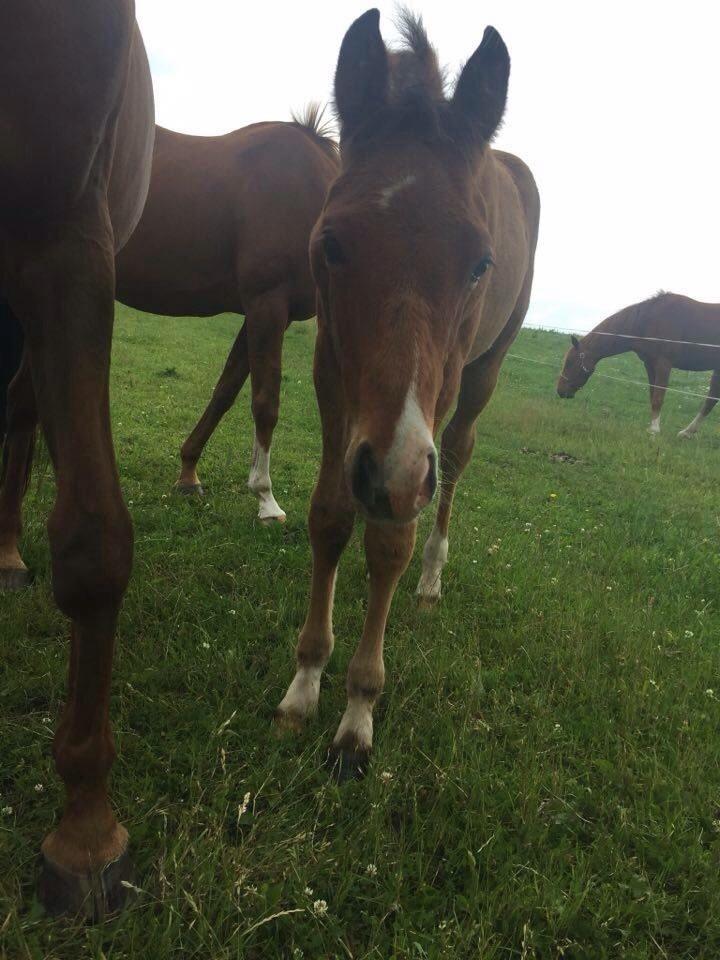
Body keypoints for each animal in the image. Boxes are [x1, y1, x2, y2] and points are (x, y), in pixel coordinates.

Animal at [116, 109, 342, 520]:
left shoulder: (265, 314)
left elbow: (225, 391)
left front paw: (188, 473)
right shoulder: (267, 304)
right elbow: (265, 402)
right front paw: (266, 499)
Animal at [274, 9, 540, 780]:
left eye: (480, 263)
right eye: (331, 244)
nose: (389, 474)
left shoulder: (424, 416)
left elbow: (391, 538)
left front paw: (358, 713)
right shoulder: (333, 374)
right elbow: (330, 516)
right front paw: (306, 682)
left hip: (482, 374)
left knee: (456, 461)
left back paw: (430, 580)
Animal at [556, 292, 720, 438]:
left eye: (570, 362)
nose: (560, 391)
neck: (649, 320)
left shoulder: (663, 364)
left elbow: (658, 397)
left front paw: (654, 430)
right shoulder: (650, 364)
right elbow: (652, 395)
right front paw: (651, 428)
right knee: (711, 399)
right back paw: (687, 433)